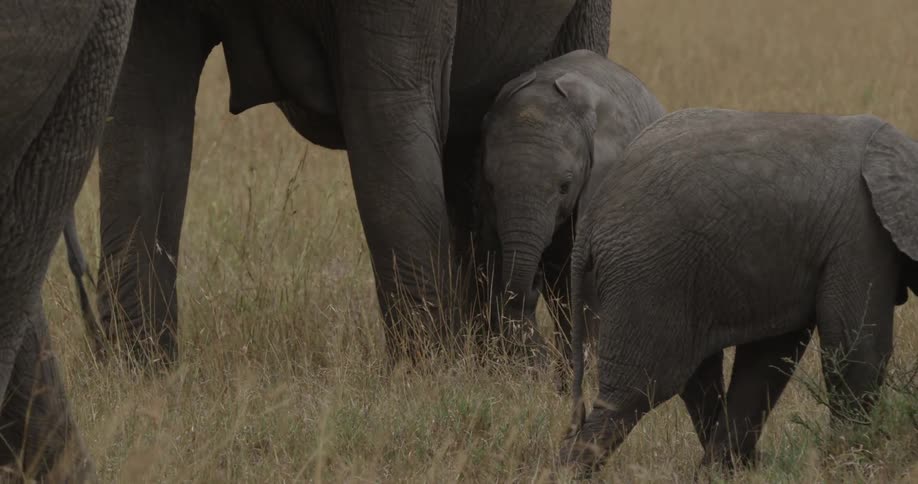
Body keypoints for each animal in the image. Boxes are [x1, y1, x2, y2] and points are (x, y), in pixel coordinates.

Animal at [559, 108, 918, 473]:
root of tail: (591, 219)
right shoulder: (861, 236)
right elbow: (858, 348)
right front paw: (853, 464)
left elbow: (768, 360)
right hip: (646, 273)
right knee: (638, 388)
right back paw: (570, 472)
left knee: (696, 379)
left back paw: (723, 468)